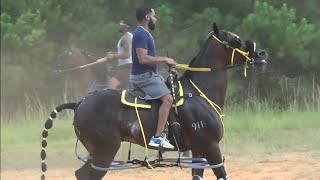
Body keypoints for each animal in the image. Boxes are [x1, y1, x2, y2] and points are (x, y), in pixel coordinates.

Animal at [42, 23, 268, 179]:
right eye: (235, 39)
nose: (261, 53)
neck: (200, 92)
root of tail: (79, 103)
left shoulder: (199, 149)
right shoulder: (211, 147)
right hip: (104, 151)